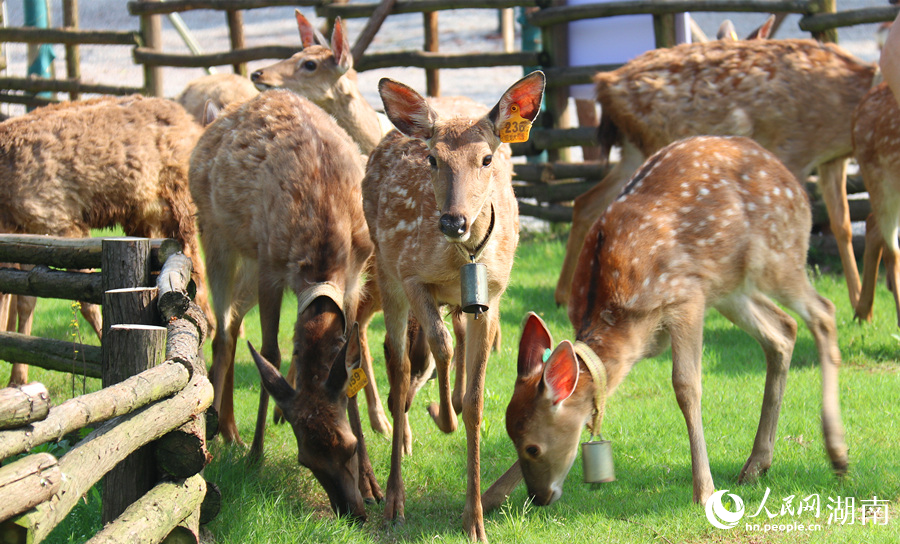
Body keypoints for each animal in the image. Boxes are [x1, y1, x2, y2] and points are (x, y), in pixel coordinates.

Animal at [0, 95, 210, 386]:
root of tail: (191, 122)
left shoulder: (58, 219)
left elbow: (86, 303)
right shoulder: (26, 231)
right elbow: (23, 299)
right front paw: (17, 377)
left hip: (178, 202)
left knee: (196, 267)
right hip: (145, 214)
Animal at [189, 88, 382, 520]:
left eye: (348, 446)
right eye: (305, 459)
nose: (353, 512)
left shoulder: (356, 274)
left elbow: (352, 359)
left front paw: (374, 485)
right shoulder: (270, 266)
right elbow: (271, 353)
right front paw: (256, 456)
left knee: (232, 323)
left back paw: (230, 430)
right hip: (216, 235)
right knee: (221, 331)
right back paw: (220, 434)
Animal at [362, 71, 545, 541]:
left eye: (486, 158)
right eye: (432, 159)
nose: (452, 221)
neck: (463, 258)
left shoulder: (492, 296)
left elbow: (478, 398)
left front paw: (475, 520)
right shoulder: (411, 276)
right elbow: (438, 347)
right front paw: (442, 415)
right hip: (385, 270)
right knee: (399, 363)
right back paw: (393, 500)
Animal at [488, 136, 848, 511]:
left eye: (533, 447)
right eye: (511, 437)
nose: (539, 496)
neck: (624, 324)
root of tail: (796, 185)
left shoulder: (684, 298)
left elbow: (686, 386)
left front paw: (704, 491)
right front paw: (489, 497)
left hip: (777, 257)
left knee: (824, 312)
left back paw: (837, 454)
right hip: (728, 287)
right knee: (783, 330)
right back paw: (757, 464)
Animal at [554, 39, 879, 317]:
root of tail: (602, 85)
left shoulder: (832, 159)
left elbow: (842, 225)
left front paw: (860, 306)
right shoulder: (792, 148)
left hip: (633, 150)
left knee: (586, 201)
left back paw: (563, 295)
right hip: (655, 144)